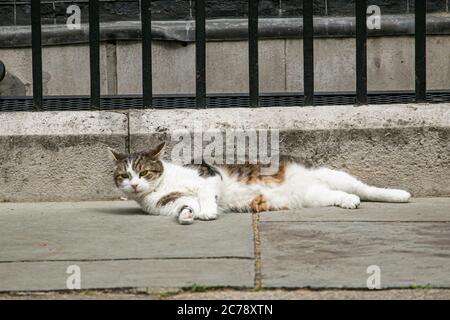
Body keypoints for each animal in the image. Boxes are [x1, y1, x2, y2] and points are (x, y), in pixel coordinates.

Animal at [109, 142, 412, 225]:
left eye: (144, 173)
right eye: (124, 175)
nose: (134, 185)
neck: (162, 187)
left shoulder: (208, 175)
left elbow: (205, 194)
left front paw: (208, 211)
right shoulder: (172, 202)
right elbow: (186, 206)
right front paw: (188, 216)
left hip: (332, 174)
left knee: (366, 188)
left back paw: (399, 194)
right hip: (317, 195)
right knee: (339, 195)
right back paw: (349, 201)